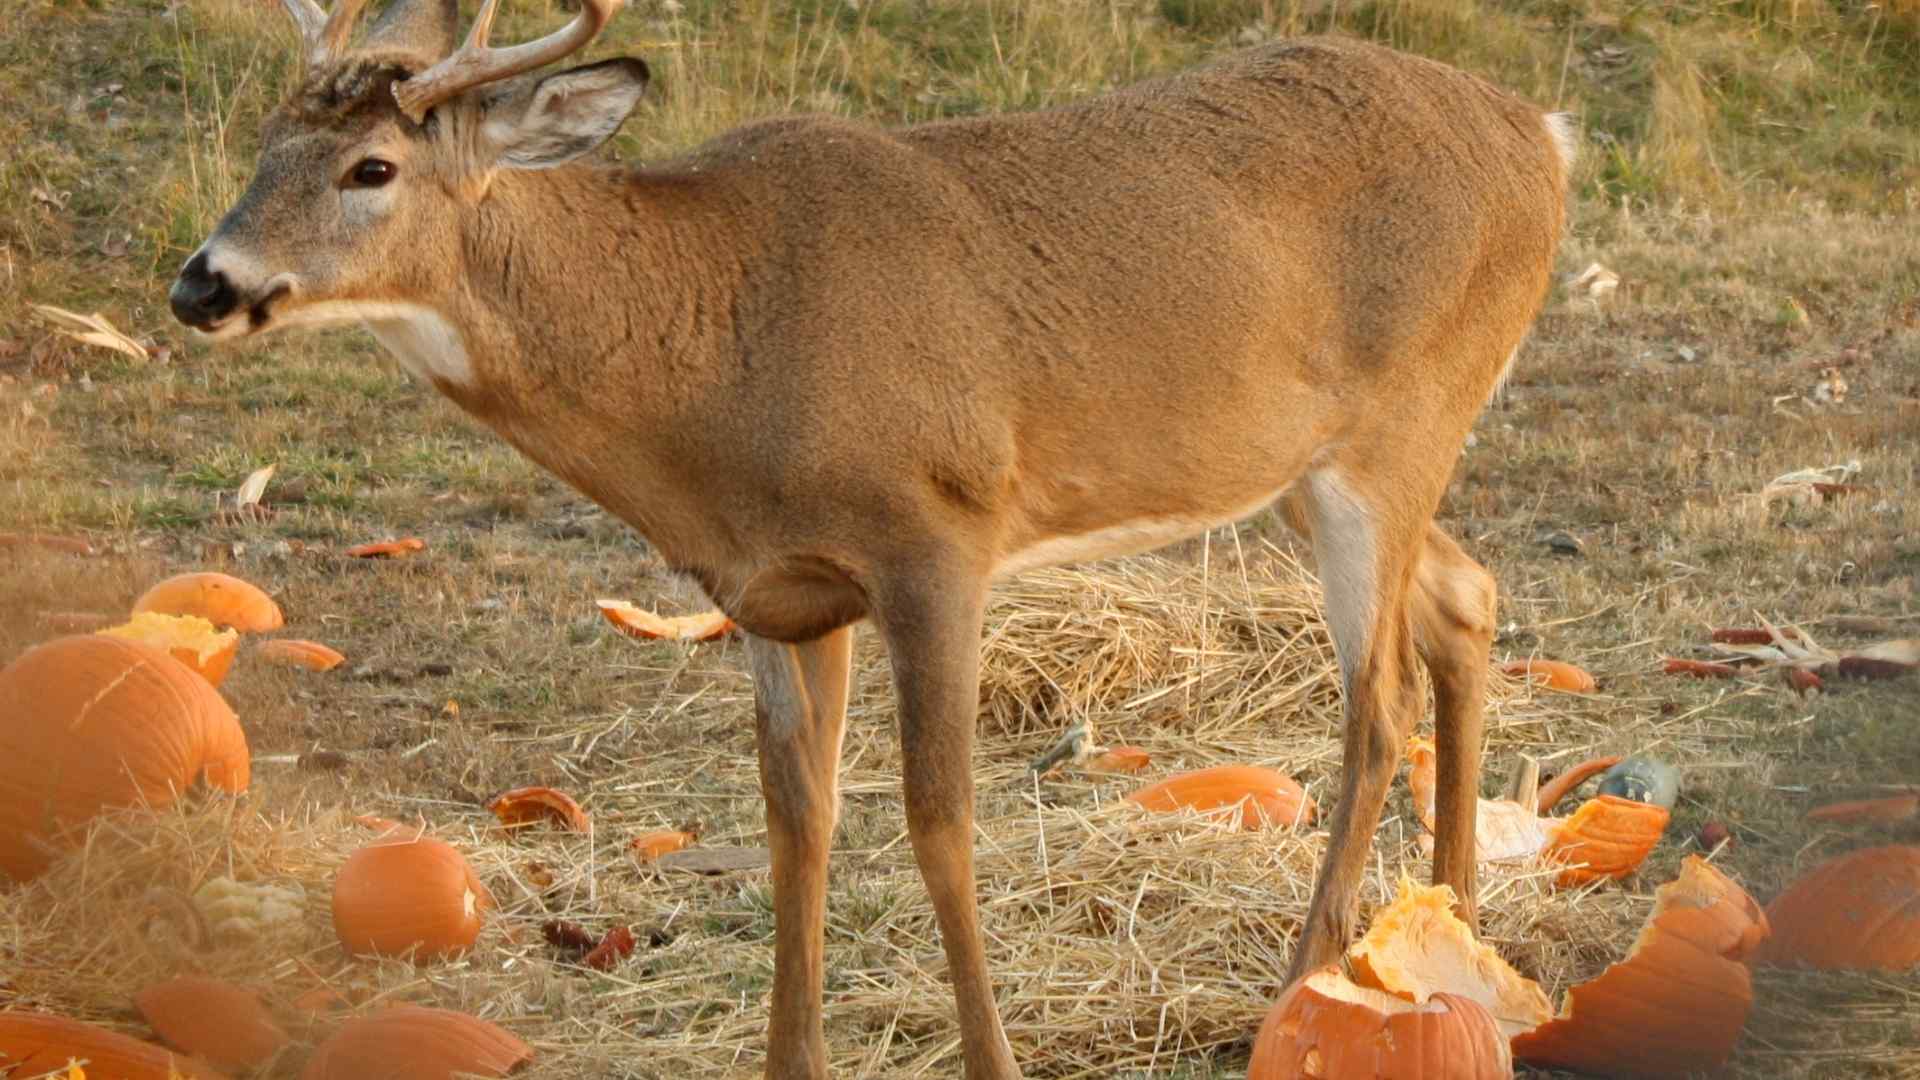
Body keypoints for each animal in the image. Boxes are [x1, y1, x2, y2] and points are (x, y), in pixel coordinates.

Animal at [168, 4, 1574, 1068]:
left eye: (372, 168)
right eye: (264, 145)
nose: (201, 283)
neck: (712, 348)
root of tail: (1545, 138)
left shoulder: (936, 534)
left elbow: (939, 818)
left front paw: (995, 1058)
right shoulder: (772, 590)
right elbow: (800, 816)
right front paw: (791, 1059)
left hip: (1396, 428)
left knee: (1376, 699)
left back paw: (1307, 985)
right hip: (1313, 462)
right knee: (1467, 597)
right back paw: (1452, 938)